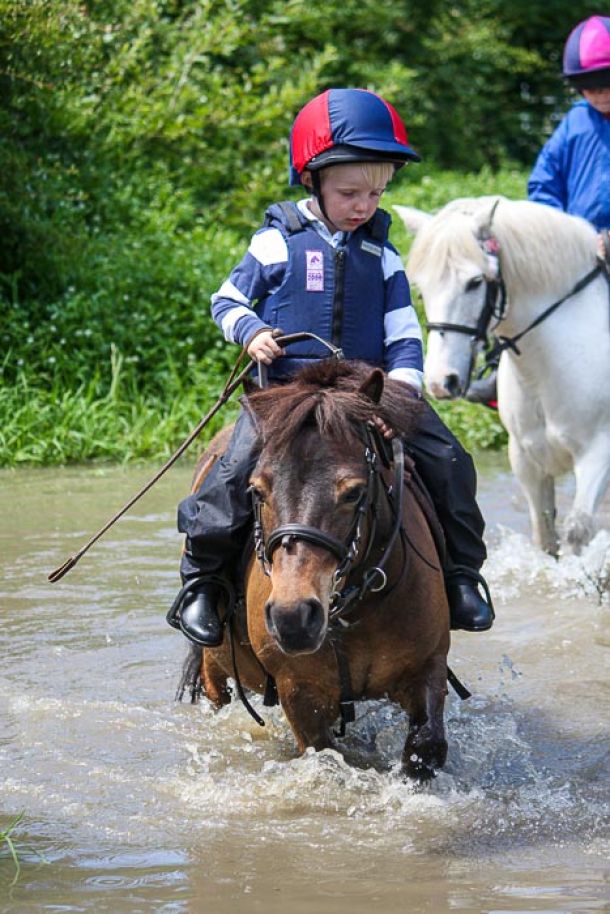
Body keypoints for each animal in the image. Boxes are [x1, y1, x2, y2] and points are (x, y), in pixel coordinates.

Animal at [178, 360, 448, 780]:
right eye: (257, 490)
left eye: (354, 492)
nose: (293, 617)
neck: (355, 611)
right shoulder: (299, 690)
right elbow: (324, 757)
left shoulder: (428, 666)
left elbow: (426, 747)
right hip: (213, 666)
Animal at [394, 198, 608, 556]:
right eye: (422, 290)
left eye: (475, 282)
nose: (440, 381)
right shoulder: (526, 458)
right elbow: (544, 535)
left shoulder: (598, 454)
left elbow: (578, 532)